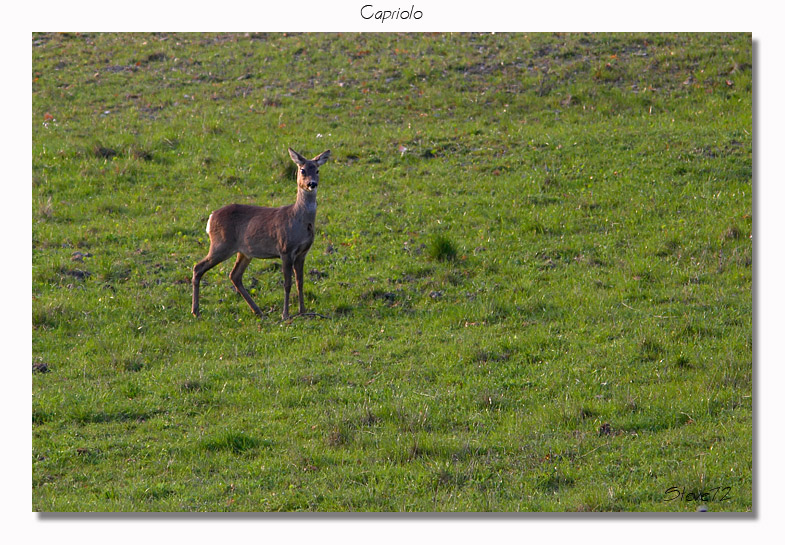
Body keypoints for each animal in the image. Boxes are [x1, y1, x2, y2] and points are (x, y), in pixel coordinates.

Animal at [194, 147, 332, 320]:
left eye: (317, 170)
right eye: (302, 170)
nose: (311, 184)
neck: (299, 220)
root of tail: (211, 217)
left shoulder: (302, 252)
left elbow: (300, 282)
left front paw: (303, 312)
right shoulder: (285, 249)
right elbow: (287, 283)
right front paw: (285, 315)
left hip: (243, 252)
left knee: (234, 275)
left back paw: (258, 311)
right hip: (220, 245)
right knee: (198, 267)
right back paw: (196, 311)